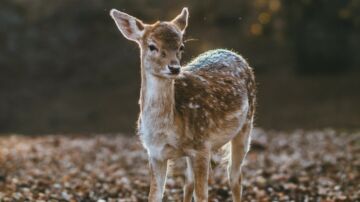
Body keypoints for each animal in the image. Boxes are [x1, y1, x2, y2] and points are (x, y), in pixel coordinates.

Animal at [109, 6, 256, 202]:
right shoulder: (154, 153)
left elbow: (202, 196)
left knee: (235, 177)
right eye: (152, 46)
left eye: (181, 46)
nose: (174, 68)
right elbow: (154, 195)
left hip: (246, 124)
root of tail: (231, 52)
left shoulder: (203, 145)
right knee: (188, 183)